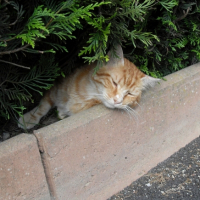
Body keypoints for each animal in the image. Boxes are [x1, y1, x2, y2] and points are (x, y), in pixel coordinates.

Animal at [18, 44, 159, 130]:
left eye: (129, 94)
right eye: (114, 82)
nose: (117, 101)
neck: (87, 93)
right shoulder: (56, 89)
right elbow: (43, 106)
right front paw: (29, 119)